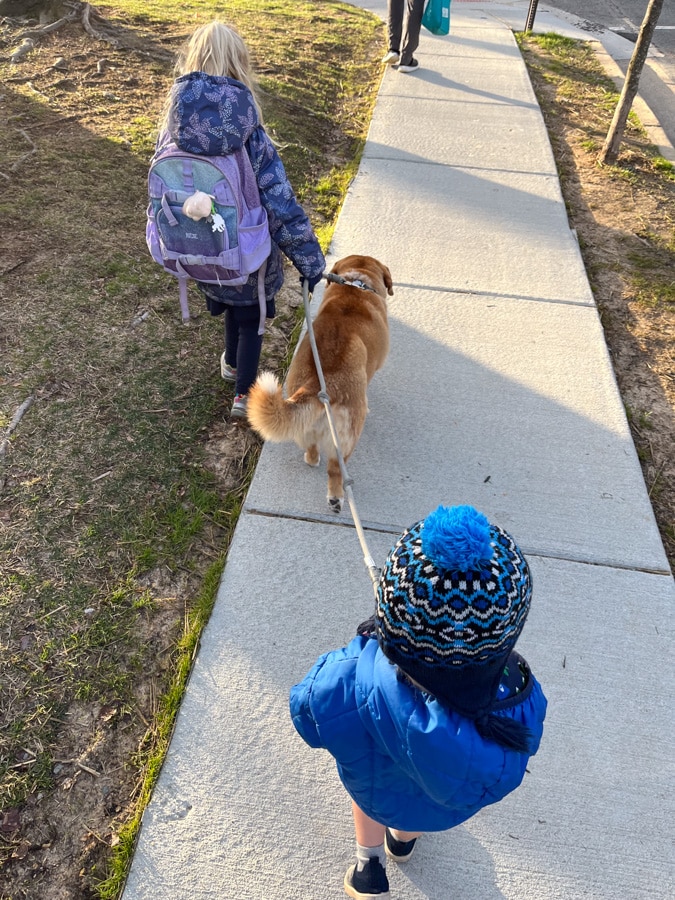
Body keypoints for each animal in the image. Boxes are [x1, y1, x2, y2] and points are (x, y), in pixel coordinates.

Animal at [247, 253, 396, 512]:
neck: (356, 283)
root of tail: (318, 386)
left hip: (305, 423)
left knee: (311, 447)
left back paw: (312, 460)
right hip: (345, 441)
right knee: (335, 470)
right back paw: (336, 497)